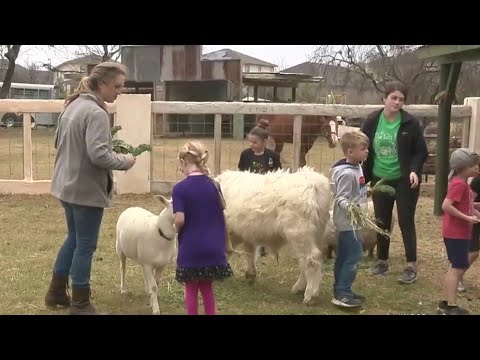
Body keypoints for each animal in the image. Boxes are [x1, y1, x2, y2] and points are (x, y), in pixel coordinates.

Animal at [216, 166, 332, 304]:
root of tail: (315, 183)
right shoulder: (246, 234)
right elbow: (249, 253)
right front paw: (250, 274)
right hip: (315, 236)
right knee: (306, 261)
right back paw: (299, 288)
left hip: (300, 234)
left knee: (311, 259)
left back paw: (310, 295)